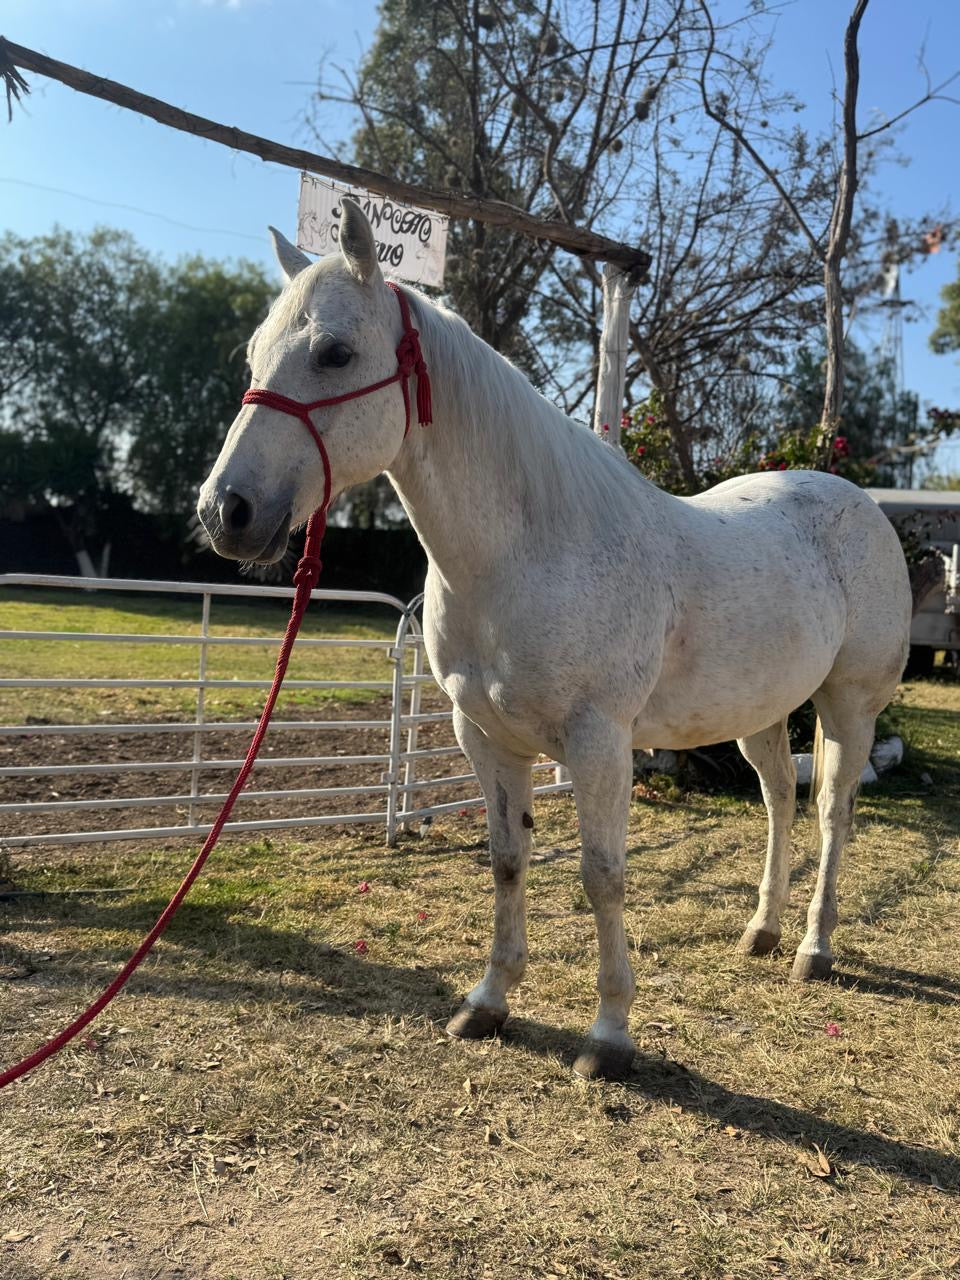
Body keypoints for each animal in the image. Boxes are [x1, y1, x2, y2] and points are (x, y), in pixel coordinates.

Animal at [198, 199, 912, 1080]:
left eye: (335, 352)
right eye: (256, 353)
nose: (224, 511)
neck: (529, 551)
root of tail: (861, 502)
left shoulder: (598, 743)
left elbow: (602, 876)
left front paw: (609, 1037)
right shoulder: (485, 736)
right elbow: (507, 860)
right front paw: (487, 1002)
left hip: (849, 705)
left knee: (831, 811)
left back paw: (814, 947)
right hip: (762, 709)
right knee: (780, 798)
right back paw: (763, 931)